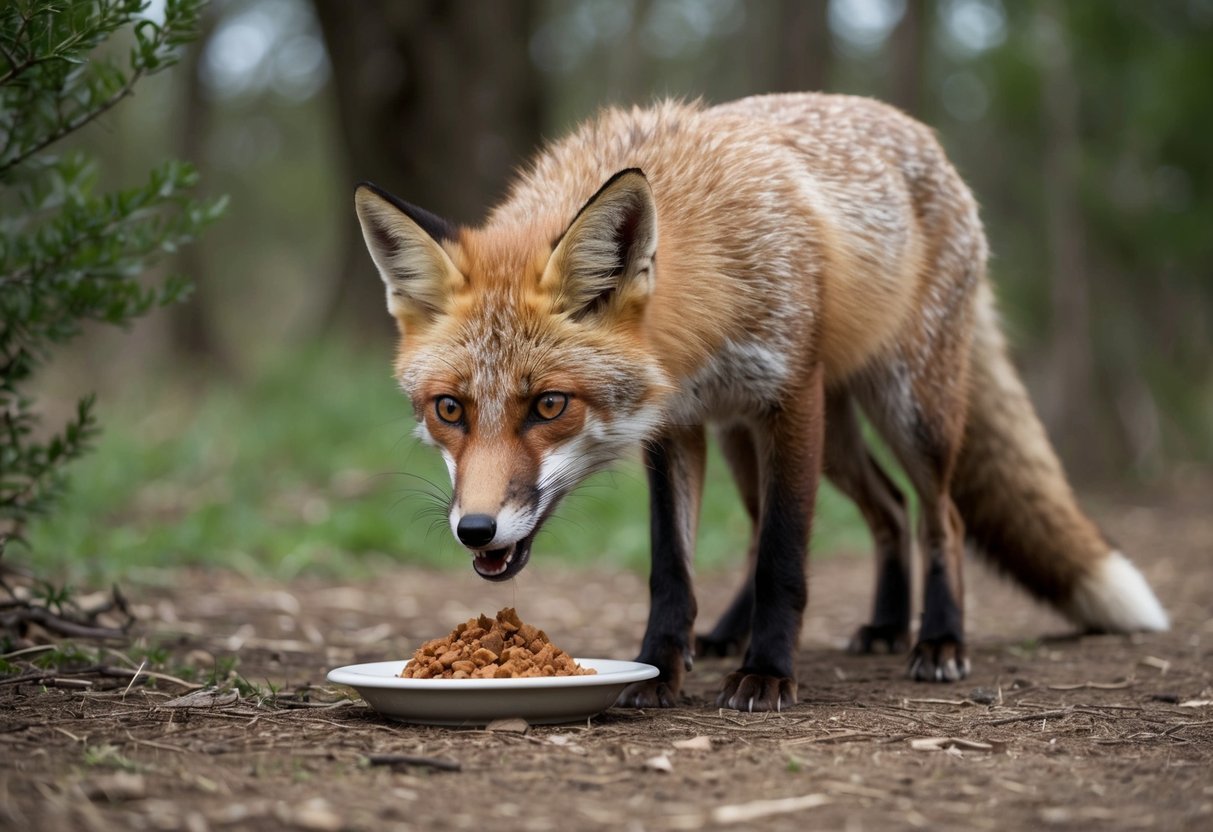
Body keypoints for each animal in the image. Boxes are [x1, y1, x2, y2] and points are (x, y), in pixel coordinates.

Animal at [353, 93, 1169, 712]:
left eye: (550, 406)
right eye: (449, 410)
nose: (475, 529)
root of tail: (919, 133)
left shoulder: (790, 397)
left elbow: (785, 556)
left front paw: (768, 673)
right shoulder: (676, 426)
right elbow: (672, 567)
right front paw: (660, 666)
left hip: (905, 409)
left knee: (940, 515)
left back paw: (936, 639)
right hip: (771, 439)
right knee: (881, 509)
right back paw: (853, 625)